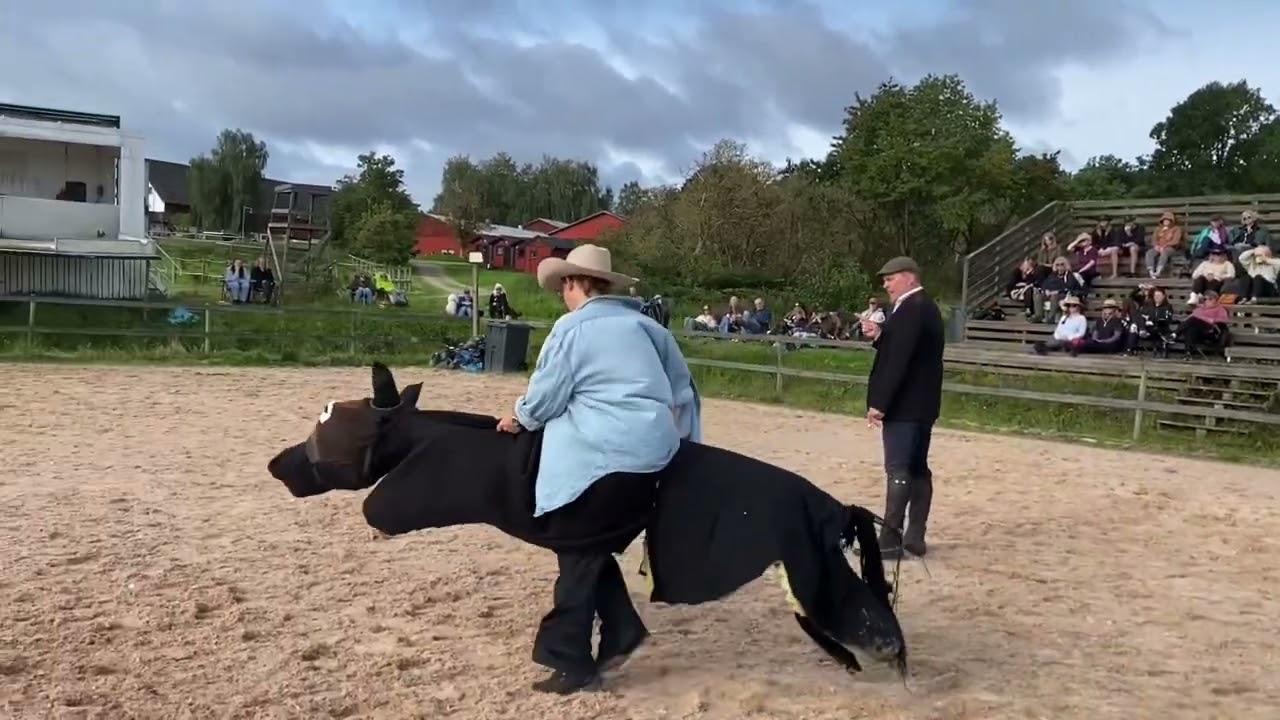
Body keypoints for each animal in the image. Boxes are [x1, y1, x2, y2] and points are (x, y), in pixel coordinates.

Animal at [266, 363, 908, 680]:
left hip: (807, 565)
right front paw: (613, 649)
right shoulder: (584, 537)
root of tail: (826, 506)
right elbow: (598, 581)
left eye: (326, 423)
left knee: (859, 611)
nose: (277, 464)